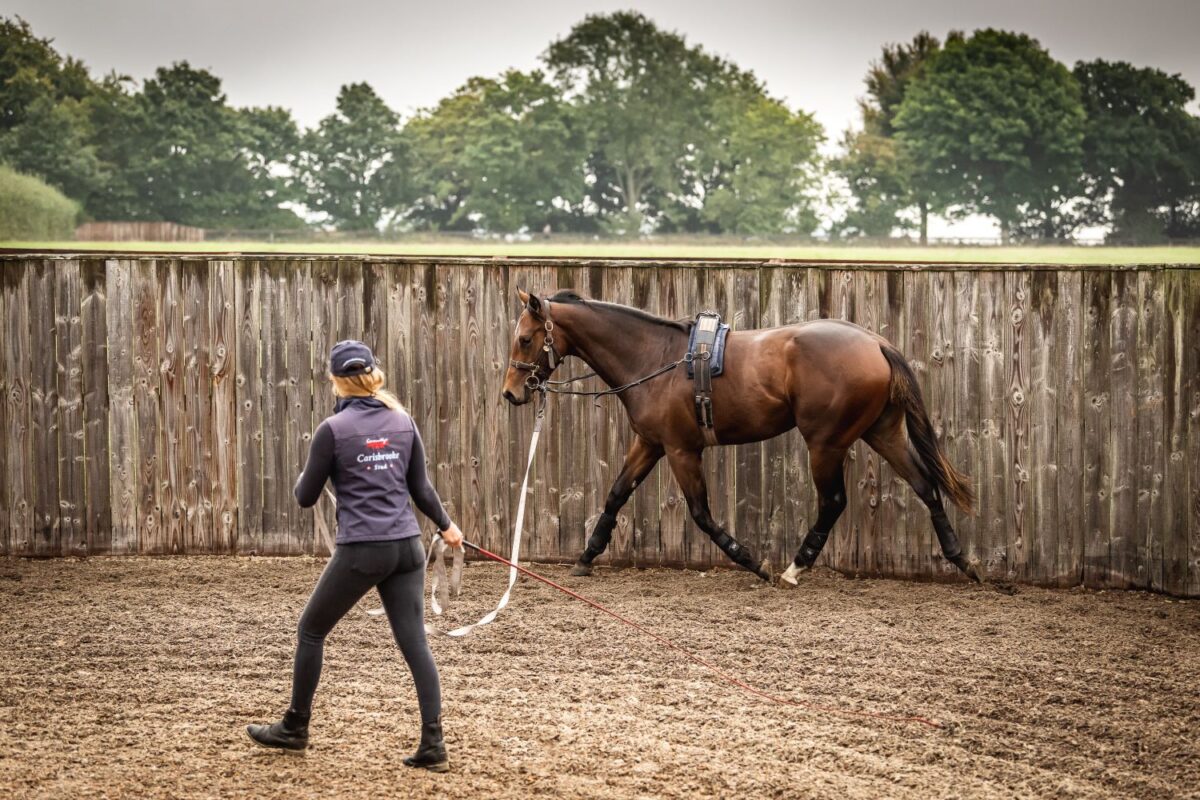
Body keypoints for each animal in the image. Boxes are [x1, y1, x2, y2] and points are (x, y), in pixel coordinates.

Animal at [501, 288, 982, 586]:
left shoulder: (681, 450)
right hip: (882, 432)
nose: (511, 392)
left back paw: (794, 567)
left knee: (833, 502)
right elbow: (616, 494)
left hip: (826, 443)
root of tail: (875, 342)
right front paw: (586, 557)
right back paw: (962, 559)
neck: (654, 358)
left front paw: (751, 560)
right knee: (925, 485)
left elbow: (701, 514)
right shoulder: (650, 444)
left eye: (524, 339)